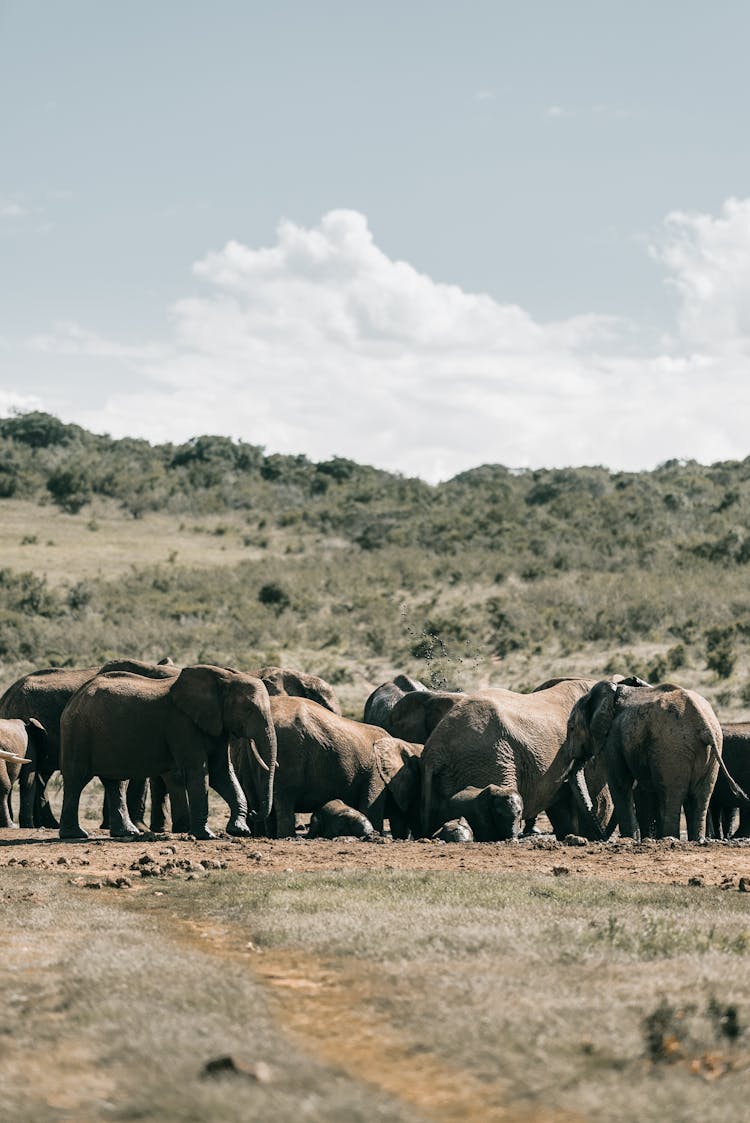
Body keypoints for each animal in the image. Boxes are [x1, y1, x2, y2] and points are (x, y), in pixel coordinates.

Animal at [58, 660, 275, 840]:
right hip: (77, 732)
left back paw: (127, 833)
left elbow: (221, 773)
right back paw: (75, 835)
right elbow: (199, 771)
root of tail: (74, 697)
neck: (225, 678)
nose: (255, 813)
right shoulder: (182, 724)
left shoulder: (216, 727)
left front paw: (239, 831)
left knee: (115, 782)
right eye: (249, 709)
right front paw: (206, 835)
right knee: (76, 779)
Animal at [232, 696, 422, 840]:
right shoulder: (376, 774)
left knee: (258, 796)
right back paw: (286, 837)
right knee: (284, 798)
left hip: (247, 753)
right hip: (289, 750)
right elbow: (371, 808)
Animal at [559, 673, 741, 844]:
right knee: (700, 796)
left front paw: (629, 839)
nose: (602, 838)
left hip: (671, 748)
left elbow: (620, 783)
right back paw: (696, 840)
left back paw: (670, 838)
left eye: (571, 727)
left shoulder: (612, 738)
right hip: (709, 748)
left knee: (672, 794)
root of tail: (704, 725)